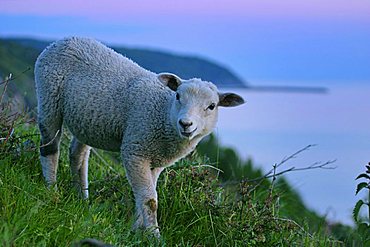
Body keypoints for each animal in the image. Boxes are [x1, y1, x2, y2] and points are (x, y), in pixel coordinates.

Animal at [34, 37, 243, 237]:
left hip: (85, 121)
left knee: (77, 155)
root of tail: (63, 40)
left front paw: (136, 229)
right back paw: (52, 191)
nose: (185, 124)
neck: (163, 115)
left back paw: (82, 198)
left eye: (212, 106)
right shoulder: (136, 151)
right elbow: (150, 200)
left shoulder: (156, 162)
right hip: (49, 96)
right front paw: (154, 235)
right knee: (49, 148)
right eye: (177, 96)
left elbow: (145, 196)